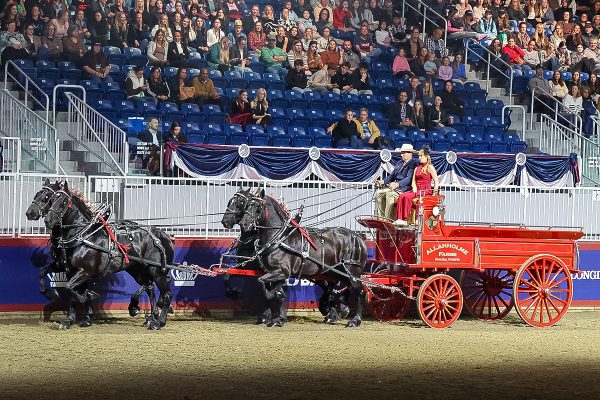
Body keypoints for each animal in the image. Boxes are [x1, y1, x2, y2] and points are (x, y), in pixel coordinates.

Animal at [25, 180, 158, 328]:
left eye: (47, 197)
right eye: (50, 199)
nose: (30, 213)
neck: (82, 236)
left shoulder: (85, 271)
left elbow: (71, 288)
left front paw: (87, 302)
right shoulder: (66, 267)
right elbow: (45, 273)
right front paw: (70, 317)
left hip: (148, 268)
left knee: (151, 286)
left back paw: (150, 316)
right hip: (135, 269)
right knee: (149, 286)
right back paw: (150, 316)